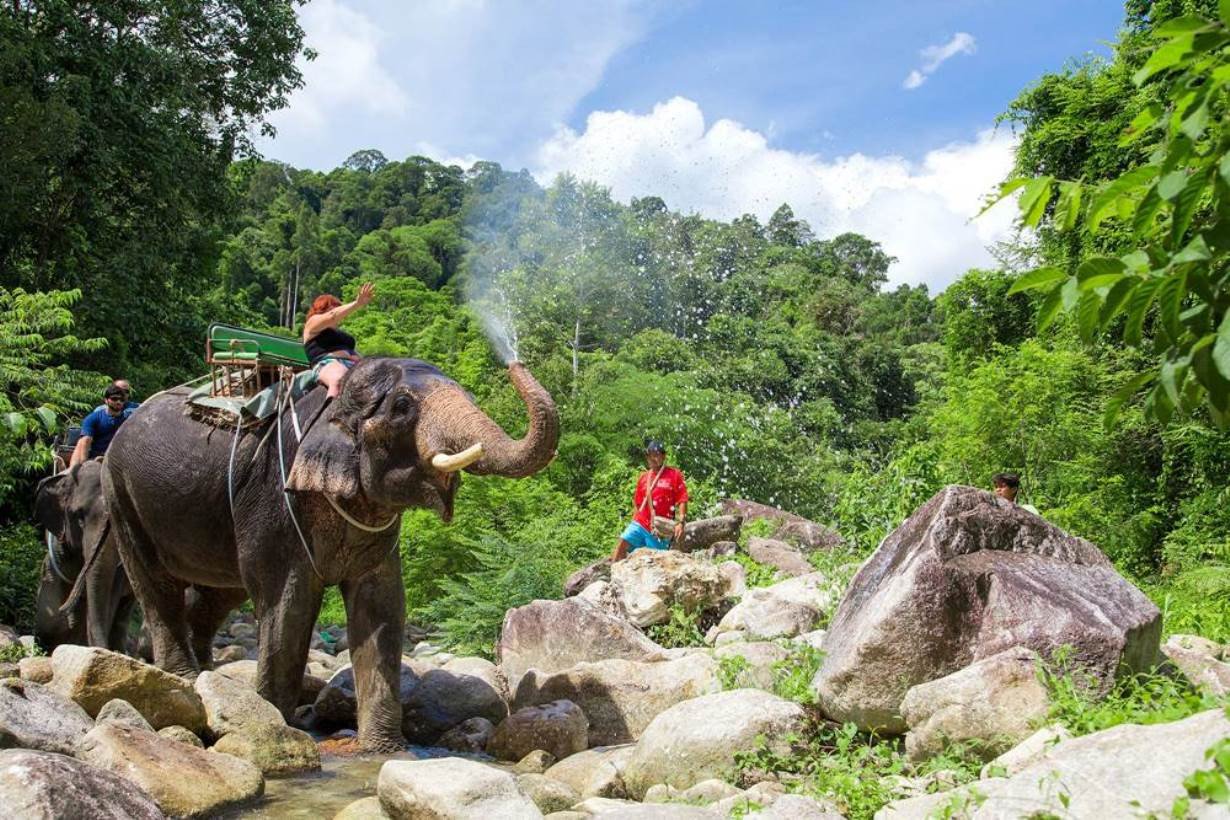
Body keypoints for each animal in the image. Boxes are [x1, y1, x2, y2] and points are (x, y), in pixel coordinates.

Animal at [105, 358, 558, 752]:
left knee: (218, 595)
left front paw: (384, 751)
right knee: (156, 585)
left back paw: (204, 677)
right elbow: (289, 604)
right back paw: (184, 678)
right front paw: (276, 729)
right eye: (401, 406)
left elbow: (381, 607)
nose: (513, 362)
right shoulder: (275, 497)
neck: (333, 406)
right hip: (122, 495)